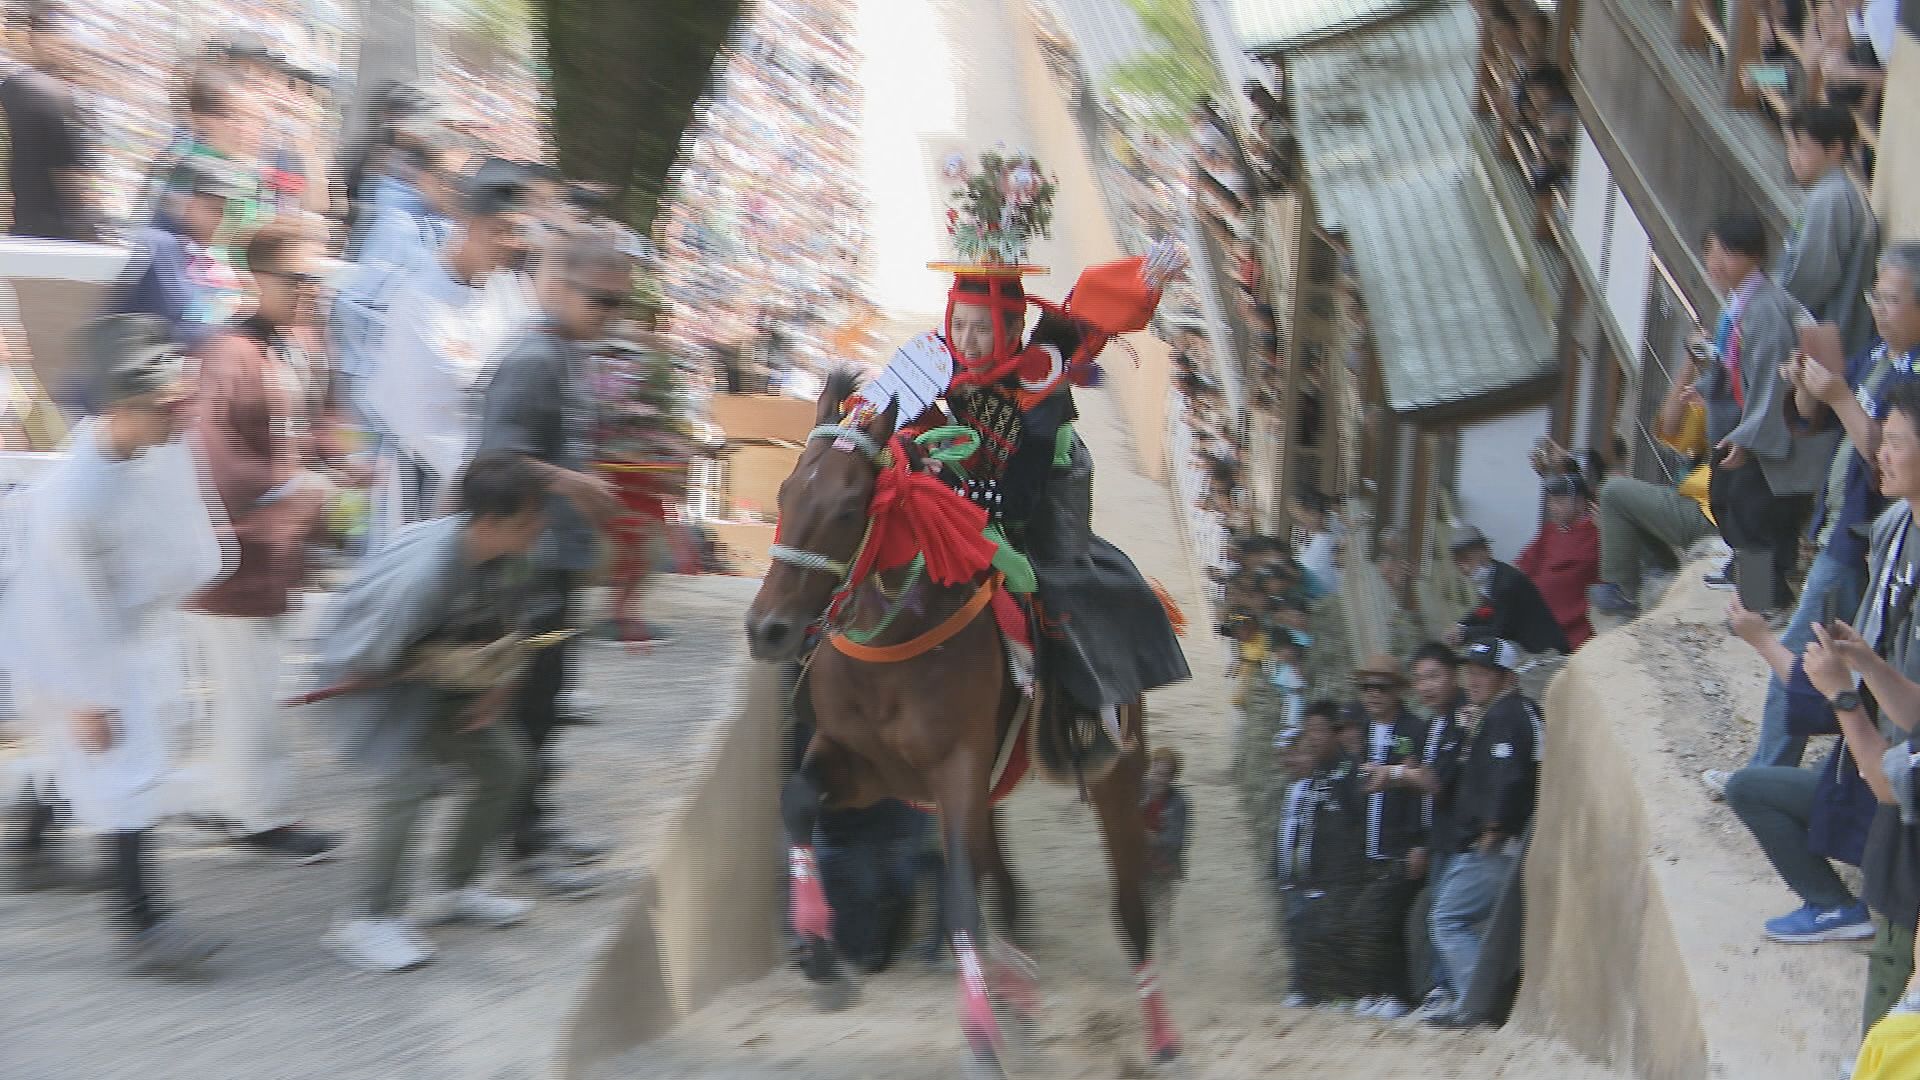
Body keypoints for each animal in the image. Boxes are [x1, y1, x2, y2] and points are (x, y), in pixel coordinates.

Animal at [741, 367, 1175, 1068]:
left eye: (847, 508)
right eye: (785, 491)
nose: (768, 629)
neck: (895, 645)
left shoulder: (955, 769)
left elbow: (961, 895)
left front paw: (980, 1033)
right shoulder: (865, 767)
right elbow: (798, 802)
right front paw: (819, 950)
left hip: (1115, 768)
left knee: (1128, 901)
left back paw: (1160, 1032)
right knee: (1005, 884)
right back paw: (1021, 1001)